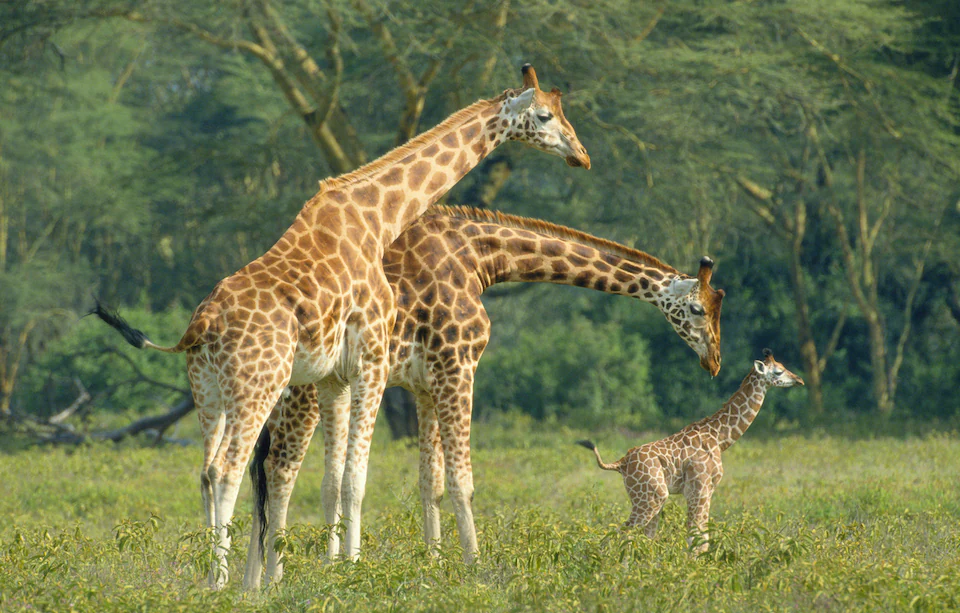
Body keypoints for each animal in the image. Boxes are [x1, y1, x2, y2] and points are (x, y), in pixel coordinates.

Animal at [93, 65, 590, 589]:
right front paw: (354, 568)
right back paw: (224, 583)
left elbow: (334, 480)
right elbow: (357, 477)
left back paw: (214, 580)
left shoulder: (334, 375)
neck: (379, 218)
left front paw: (333, 568)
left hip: (207, 390)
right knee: (231, 470)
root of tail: (198, 327)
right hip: (258, 384)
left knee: (207, 471)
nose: (581, 154)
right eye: (545, 115)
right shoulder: (371, 359)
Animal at [243, 205, 725, 585]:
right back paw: (274, 578)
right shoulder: (458, 365)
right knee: (279, 469)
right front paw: (474, 566)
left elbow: (430, 483)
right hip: (301, 391)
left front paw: (433, 565)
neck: (479, 258)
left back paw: (254, 582)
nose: (714, 362)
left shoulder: (424, 385)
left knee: (264, 469)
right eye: (696, 309)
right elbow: (463, 481)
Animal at [577, 348, 804, 554]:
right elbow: (696, 536)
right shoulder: (699, 488)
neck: (719, 438)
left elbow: (701, 535)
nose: (799, 380)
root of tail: (621, 463)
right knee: (622, 533)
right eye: (778, 371)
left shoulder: (707, 490)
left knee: (639, 536)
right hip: (652, 497)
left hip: (650, 498)